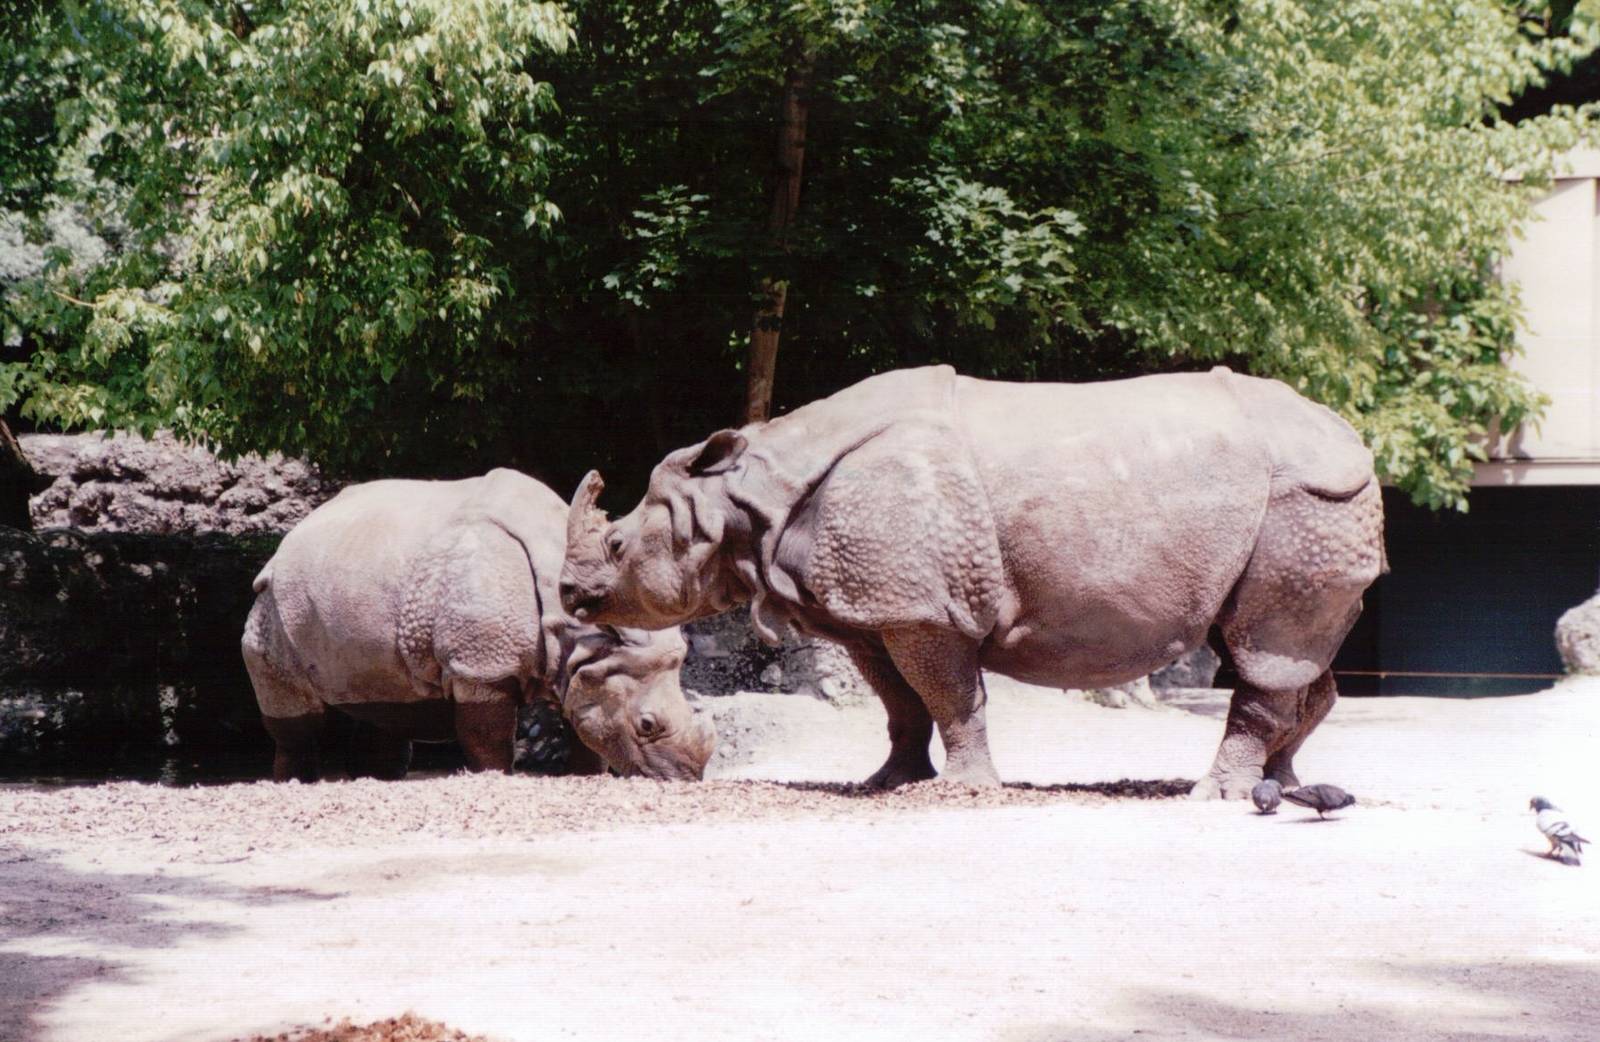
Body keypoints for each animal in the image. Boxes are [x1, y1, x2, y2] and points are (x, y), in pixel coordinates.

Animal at [242, 469, 716, 782]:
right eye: (647, 725)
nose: (686, 777)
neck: (578, 630)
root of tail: (290, 537)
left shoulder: (591, 661)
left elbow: (587, 728)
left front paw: (586, 777)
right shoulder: (481, 665)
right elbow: (487, 735)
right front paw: (494, 777)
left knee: (383, 698)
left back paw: (378, 777)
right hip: (272, 602)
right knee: (294, 709)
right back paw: (295, 781)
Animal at [561, 365, 1384, 799]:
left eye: (617, 542)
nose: (570, 597)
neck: (745, 495)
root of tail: (1354, 438)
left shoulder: (923, 606)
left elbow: (949, 695)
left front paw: (962, 790)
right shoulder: (874, 607)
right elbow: (898, 701)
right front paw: (886, 782)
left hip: (1307, 498)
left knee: (1264, 648)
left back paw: (1216, 793)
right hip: (1309, 503)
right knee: (1290, 653)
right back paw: (1281, 784)